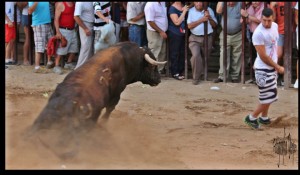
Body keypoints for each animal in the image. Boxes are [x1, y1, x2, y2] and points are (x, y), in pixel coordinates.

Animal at [25, 41, 166, 159]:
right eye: (152, 67)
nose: (159, 80)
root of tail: (70, 106)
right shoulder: (116, 94)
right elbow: (109, 110)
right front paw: (103, 124)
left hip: (43, 119)